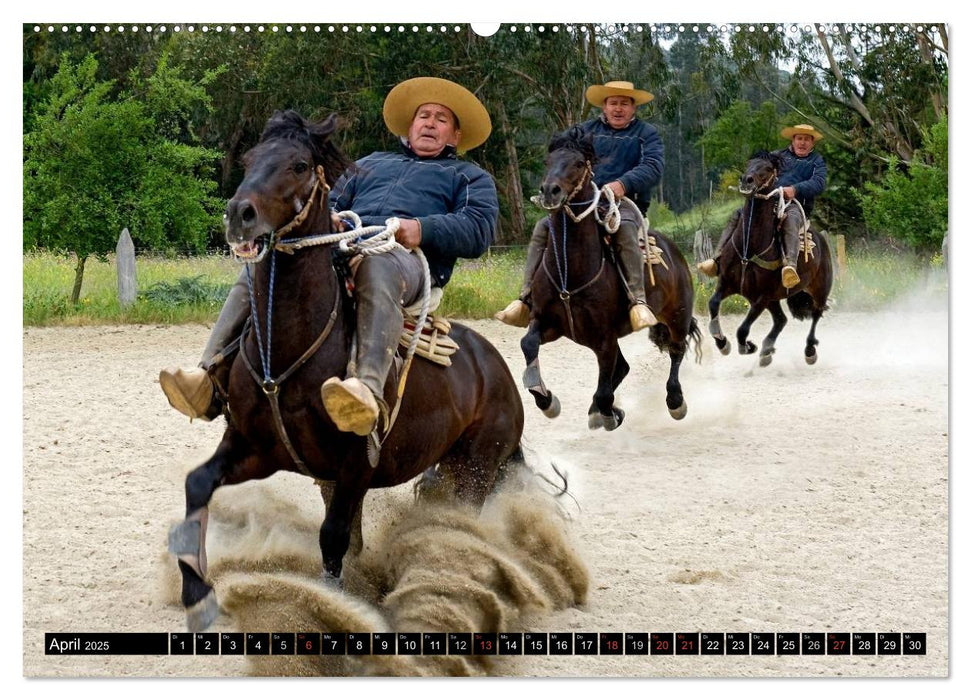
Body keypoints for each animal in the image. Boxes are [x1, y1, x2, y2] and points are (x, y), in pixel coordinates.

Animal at [520, 129, 704, 430]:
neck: (570, 273)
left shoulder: (604, 336)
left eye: (579, 163)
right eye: (548, 160)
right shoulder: (549, 322)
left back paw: (675, 402)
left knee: (676, 350)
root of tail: (674, 252)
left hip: (677, 314)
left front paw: (608, 413)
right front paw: (546, 398)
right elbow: (528, 343)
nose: (549, 191)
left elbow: (606, 387)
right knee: (623, 367)